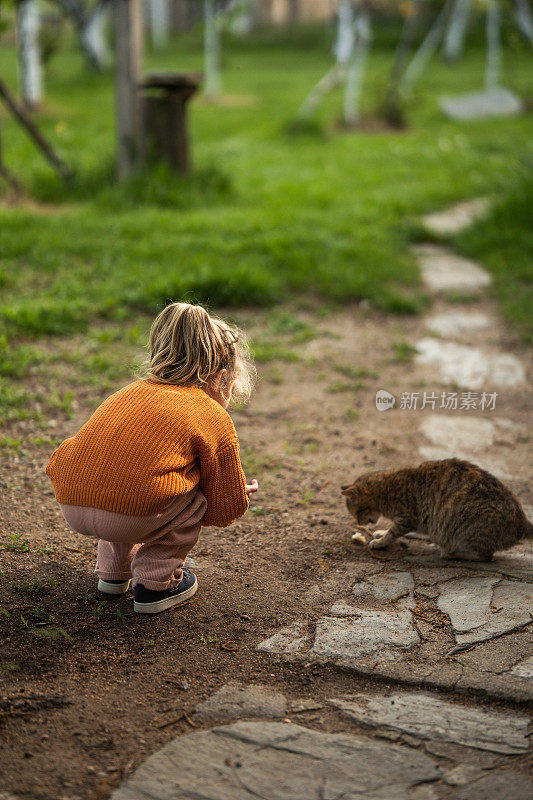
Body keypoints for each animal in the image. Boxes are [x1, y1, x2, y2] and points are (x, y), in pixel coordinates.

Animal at [342, 456, 528, 564]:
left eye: (356, 513)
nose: (358, 522)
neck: (386, 490)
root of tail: (523, 524)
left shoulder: (406, 518)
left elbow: (392, 533)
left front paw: (380, 541)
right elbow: (391, 530)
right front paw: (381, 533)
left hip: (468, 532)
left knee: (486, 556)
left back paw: (450, 552)